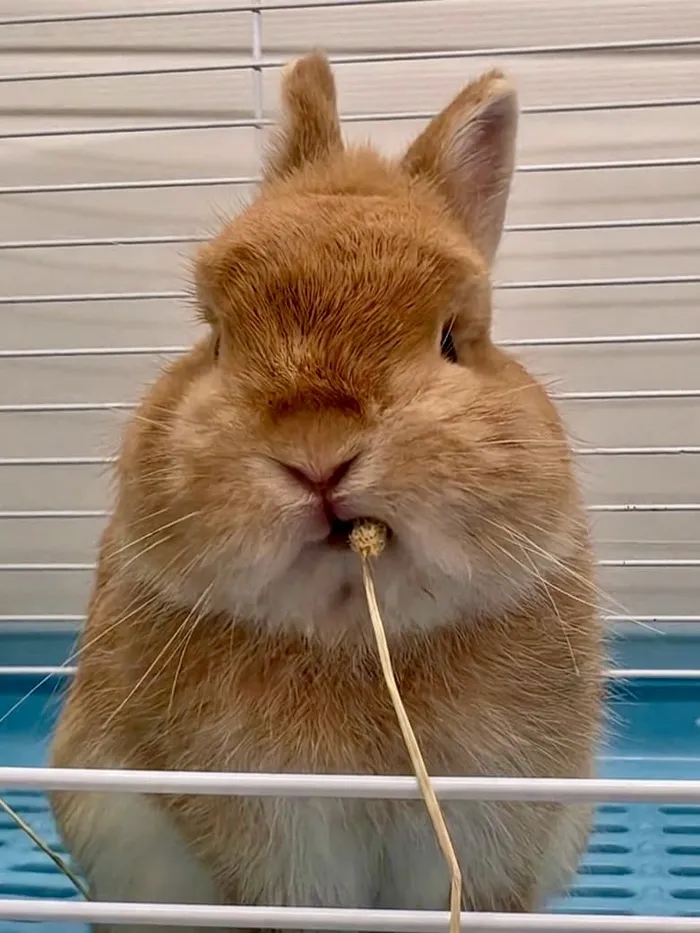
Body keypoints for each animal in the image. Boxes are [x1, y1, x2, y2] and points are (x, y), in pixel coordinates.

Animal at [50, 51, 604, 933]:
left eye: (453, 339)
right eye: (216, 338)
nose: (317, 452)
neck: (353, 638)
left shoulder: (491, 823)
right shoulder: (277, 838)